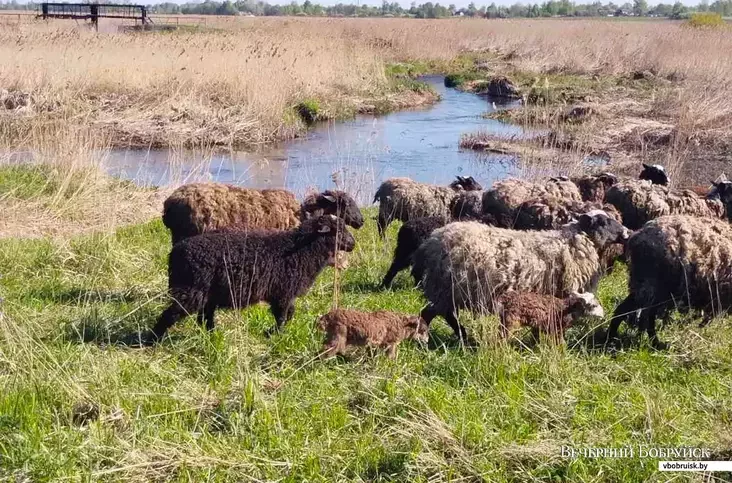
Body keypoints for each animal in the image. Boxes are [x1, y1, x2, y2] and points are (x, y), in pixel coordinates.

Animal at [149, 216, 354, 340]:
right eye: (338, 231)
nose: (353, 244)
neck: (301, 250)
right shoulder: (283, 292)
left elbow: (289, 314)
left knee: (204, 317)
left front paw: (272, 332)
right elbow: (283, 316)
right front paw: (275, 334)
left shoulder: (284, 293)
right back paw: (153, 338)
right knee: (172, 314)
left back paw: (213, 336)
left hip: (207, 293)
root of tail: (174, 253)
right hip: (191, 290)